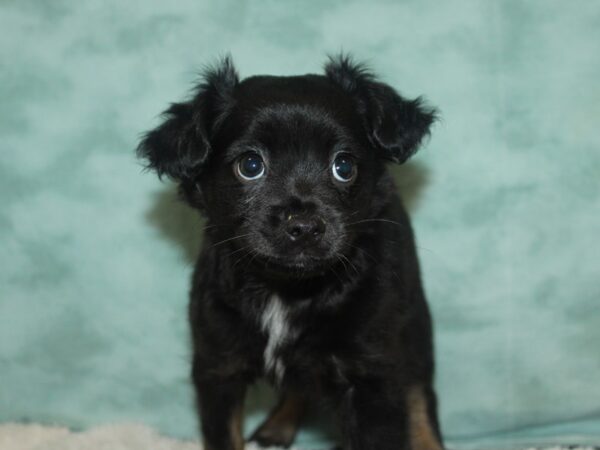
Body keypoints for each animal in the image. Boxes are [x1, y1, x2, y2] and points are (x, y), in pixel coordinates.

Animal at [138, 53, 442, 450]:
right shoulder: (218, 367)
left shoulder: (373, 376)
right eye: (250, 166)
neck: (287, 290)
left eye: (344, 166)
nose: (305, 226)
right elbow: (225, 437)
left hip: (413, 322)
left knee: (420, 391)